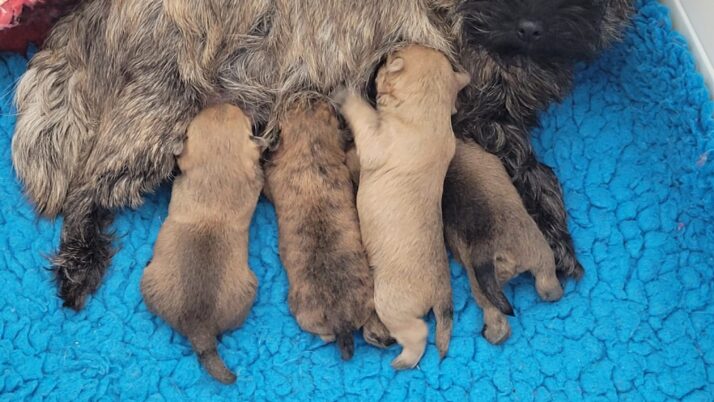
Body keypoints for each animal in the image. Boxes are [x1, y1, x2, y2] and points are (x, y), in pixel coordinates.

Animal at [336, 45, 470, 370]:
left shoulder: (378, 141)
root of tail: (441, 289)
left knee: (418, 333)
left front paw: (347, 97)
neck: (429, 111)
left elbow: (364, 118)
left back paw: (403, 361)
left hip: (391, 302)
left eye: (389, 59)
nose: (382, 56)